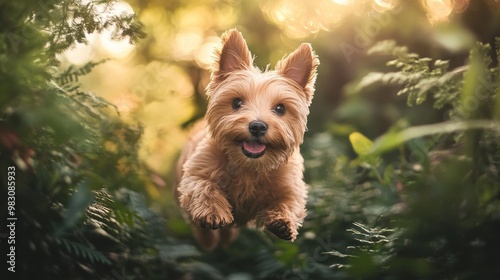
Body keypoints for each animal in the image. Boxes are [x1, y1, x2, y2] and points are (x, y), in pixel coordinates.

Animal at [174, 28, 318, 249]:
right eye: (237, 102)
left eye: (280, 108)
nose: (257, 126)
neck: (248, 166)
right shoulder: (195, 174)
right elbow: (204, 187)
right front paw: (213, 212)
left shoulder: (290, 186)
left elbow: (289, 201)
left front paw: (283, 221)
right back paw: (209, 243)